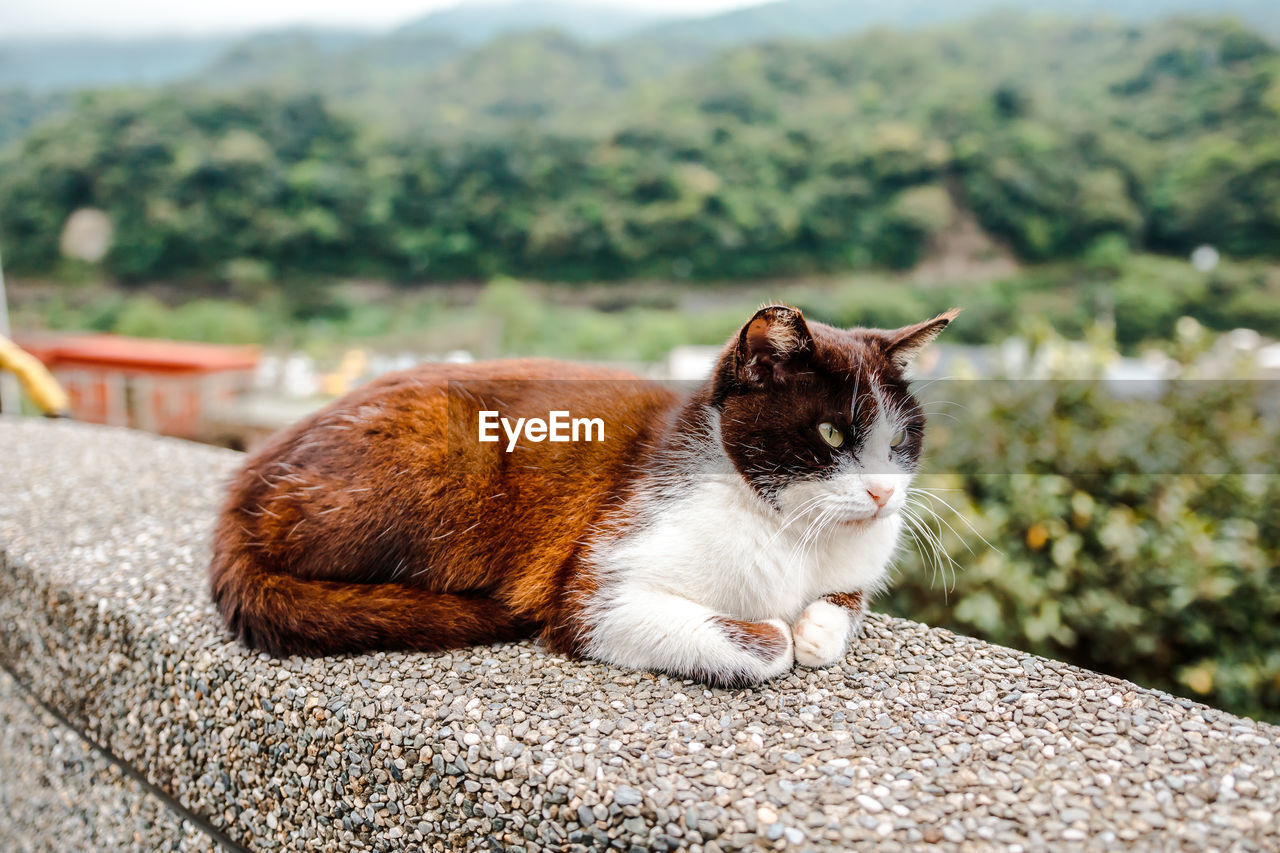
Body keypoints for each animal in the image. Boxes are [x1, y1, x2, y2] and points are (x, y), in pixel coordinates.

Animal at [207, 303, 952, 686]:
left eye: (900, 437)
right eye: (830, 432)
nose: (883, 494)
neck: (792, 533)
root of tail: (243, 484)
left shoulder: (854, 568)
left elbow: (838, 611)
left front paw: (818, 625)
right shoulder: (598, 589)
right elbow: (767, 644)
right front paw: (778, 630)